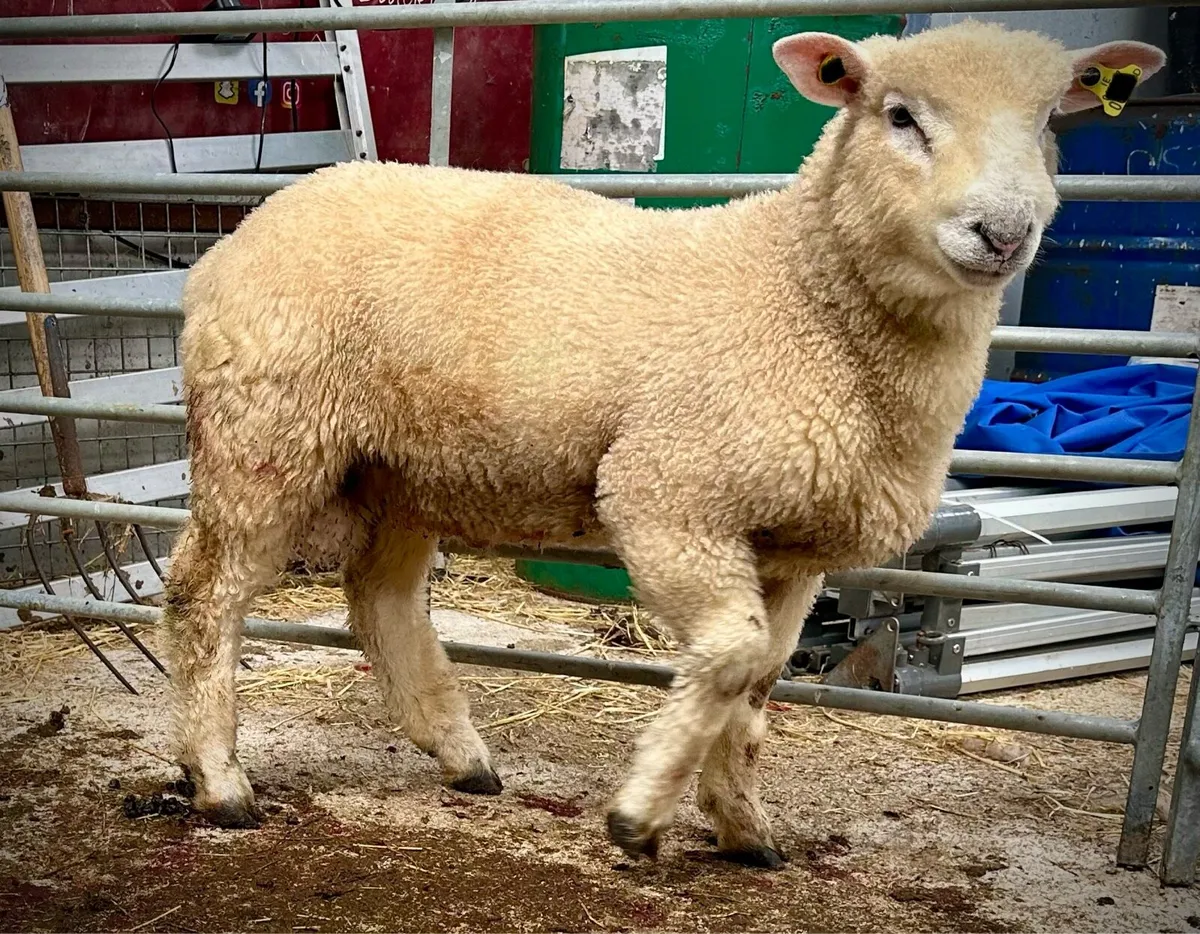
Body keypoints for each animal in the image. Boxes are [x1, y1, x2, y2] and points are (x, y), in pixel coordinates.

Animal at [165, 21, 1165, 867]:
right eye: (899, 116)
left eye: (1050, 121)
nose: (1003, 233)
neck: (805, 293)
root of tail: (249, 228)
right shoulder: (671, 495)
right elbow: (727, 657)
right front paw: (639, 811)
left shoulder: (792, 546)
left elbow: (757, 684)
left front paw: (744, 828)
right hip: (267, 431)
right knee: (203, 593)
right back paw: (221, 781)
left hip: (404, 466)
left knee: (381, 599)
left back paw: (462, 756)